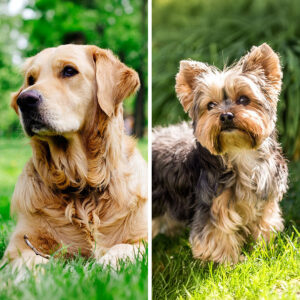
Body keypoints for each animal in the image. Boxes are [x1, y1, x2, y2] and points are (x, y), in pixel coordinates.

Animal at [2, 44, 148, 270]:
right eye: (30, 79)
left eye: (69, 71)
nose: (24, 100)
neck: (81, 183)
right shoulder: (18, 245)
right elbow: (29, 261)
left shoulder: (142, 237)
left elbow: (123, 248)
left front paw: (106, 264)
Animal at [154, 43, 288, 264]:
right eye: (210, 105)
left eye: (243, 99)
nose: (225, 116)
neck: (239, 152)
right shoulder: (213, 205)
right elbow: (218, 234)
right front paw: (229, 263)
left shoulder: (265, 200)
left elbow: (263, 224)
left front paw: (261, 250)